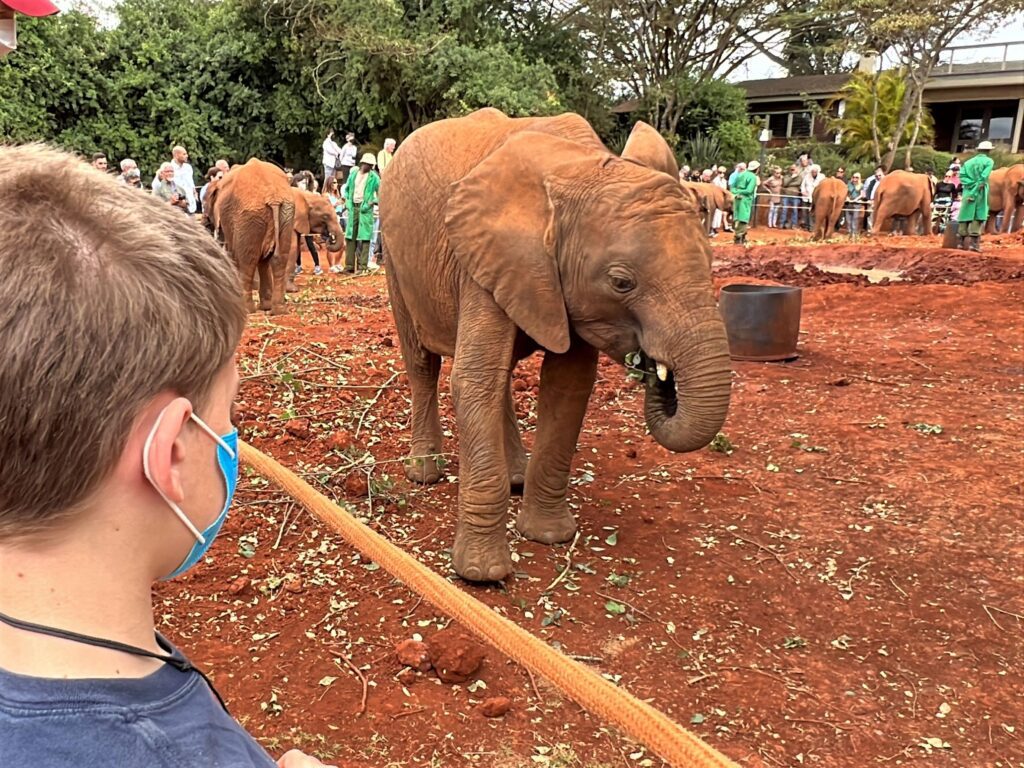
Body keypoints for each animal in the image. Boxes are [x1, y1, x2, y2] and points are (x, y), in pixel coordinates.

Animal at [214, 157, 296, 313]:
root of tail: (273, 197)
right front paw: (266, 306)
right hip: (284, 215)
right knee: (279, 259)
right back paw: (277, 309)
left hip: (249, 217)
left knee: (248, 261)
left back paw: (248, 309)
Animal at [380, 108, 733, 581]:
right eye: (621, 282)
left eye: (711, 262)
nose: (654, 369)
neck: (583, 167)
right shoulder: (485, 257)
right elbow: (473, 381)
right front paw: (481, 575)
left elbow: (567, 386)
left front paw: (549, 537)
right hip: (395, 255)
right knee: (423, 363)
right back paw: (424, 473)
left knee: (500, 377)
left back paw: (516, 477)